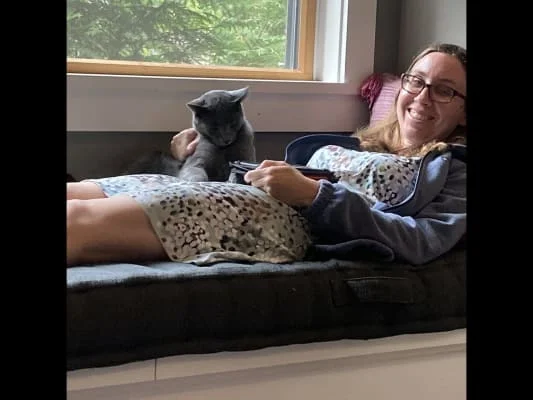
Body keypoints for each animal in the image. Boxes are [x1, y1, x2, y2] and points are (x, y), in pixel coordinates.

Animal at [124, 87, 256, 182]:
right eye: (214, 127)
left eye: (232, 122)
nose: (226, 139)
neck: (223, 150)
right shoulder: (196, 161)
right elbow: (195, 172)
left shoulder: (246, 157)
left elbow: (240, 171)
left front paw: (234, 179)